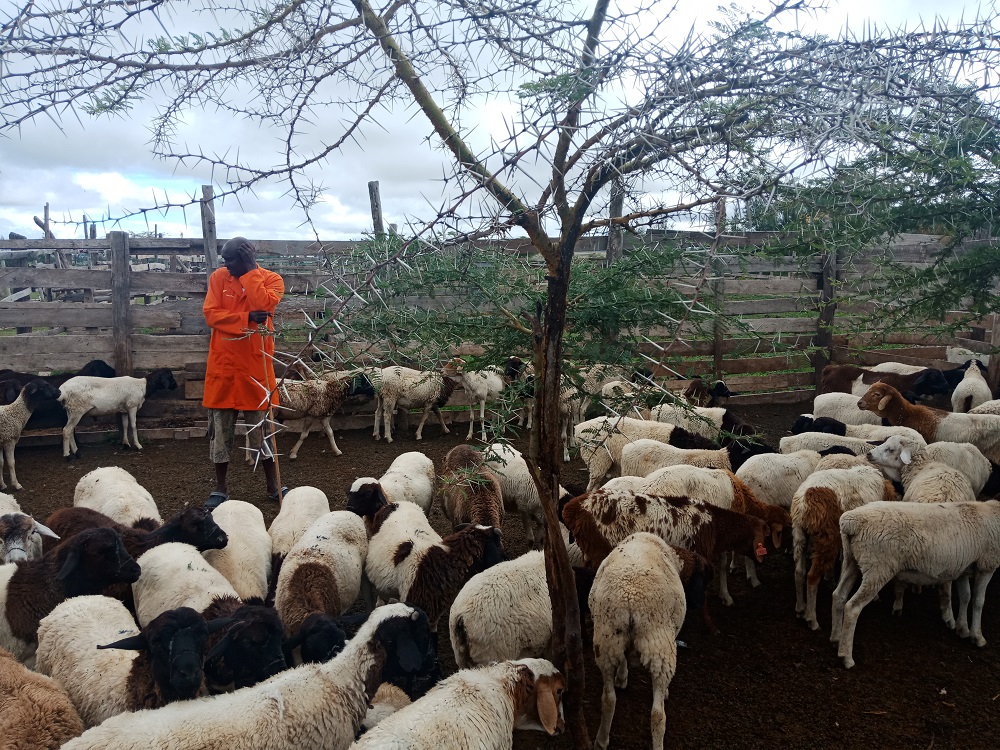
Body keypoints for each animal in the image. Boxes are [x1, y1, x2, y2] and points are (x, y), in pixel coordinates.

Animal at [590, 533, 686, 750]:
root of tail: (630, 600)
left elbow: (624, 660)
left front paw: (622, 677)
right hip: (660, 648)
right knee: (658, 715)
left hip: (607, 641)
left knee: (608, 699)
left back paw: (601, 740)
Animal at [791, 463, 898, 631]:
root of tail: (805, 500)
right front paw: (875, 597)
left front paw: (832, 579)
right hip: (827, 537)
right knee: (812, 576)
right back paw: (812, 619)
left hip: (800, 534)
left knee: (799, 571)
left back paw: (800, 608)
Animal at [832, 501, 1000, 668]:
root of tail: (851, 521)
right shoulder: (987, 565)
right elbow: (978, 602)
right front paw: (977, 637)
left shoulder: (964, 568)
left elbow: (966, 597)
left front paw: (962, 629)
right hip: (878, 567)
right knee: (852, 608)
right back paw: (846, 657)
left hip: (852, 560)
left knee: (838, 596)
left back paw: (836, 638)